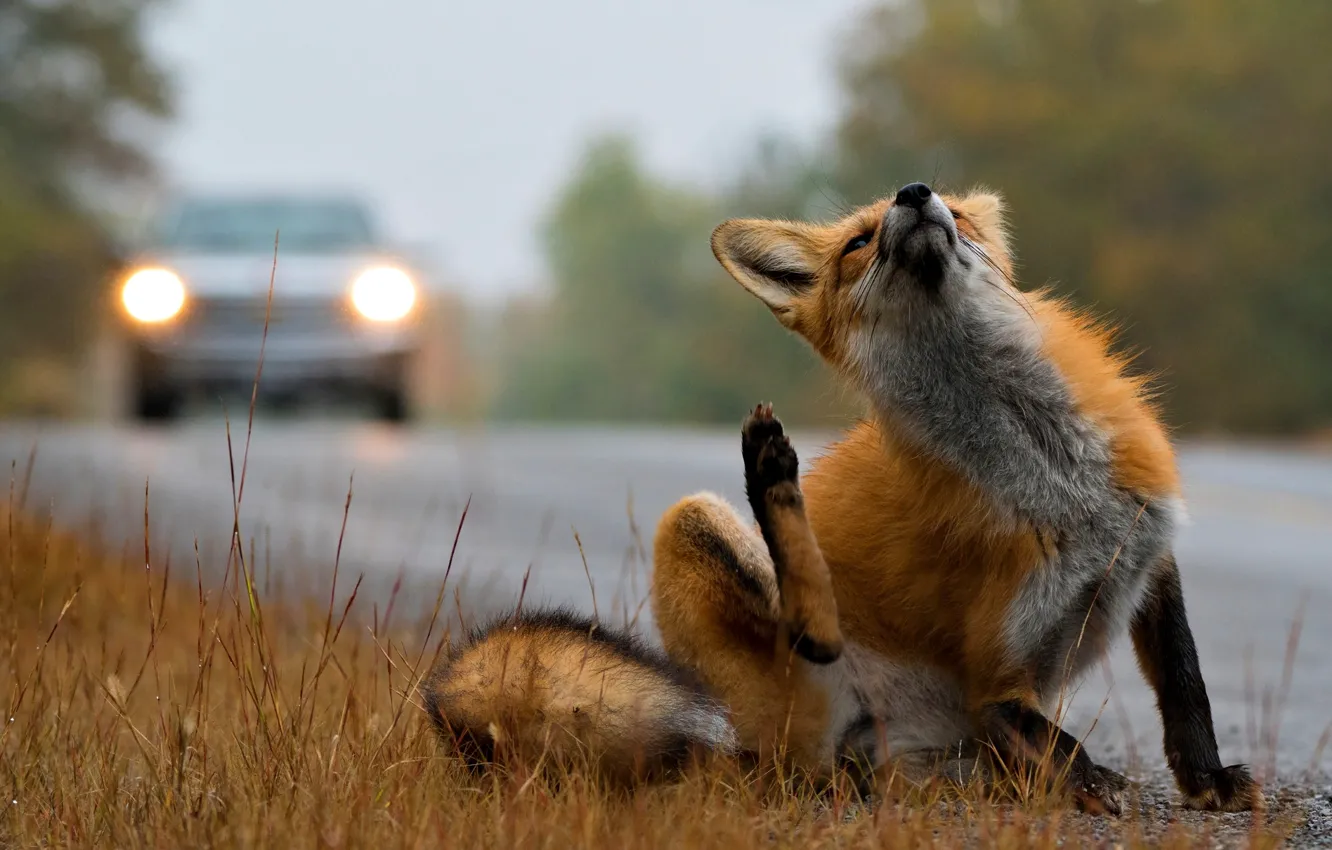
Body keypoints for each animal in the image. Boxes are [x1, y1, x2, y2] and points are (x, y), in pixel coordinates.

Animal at [421, 181, 1260, 815]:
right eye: (859, 242)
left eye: (957, 214)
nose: (915, 193)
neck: (1052, 472)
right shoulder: (995, 674)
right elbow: (1054, 735)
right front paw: (1096, 782)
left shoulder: (1147, 550)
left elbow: (1185, 683)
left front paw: (1207, 781)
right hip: (694, 526)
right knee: (804, 628)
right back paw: (772, 480)